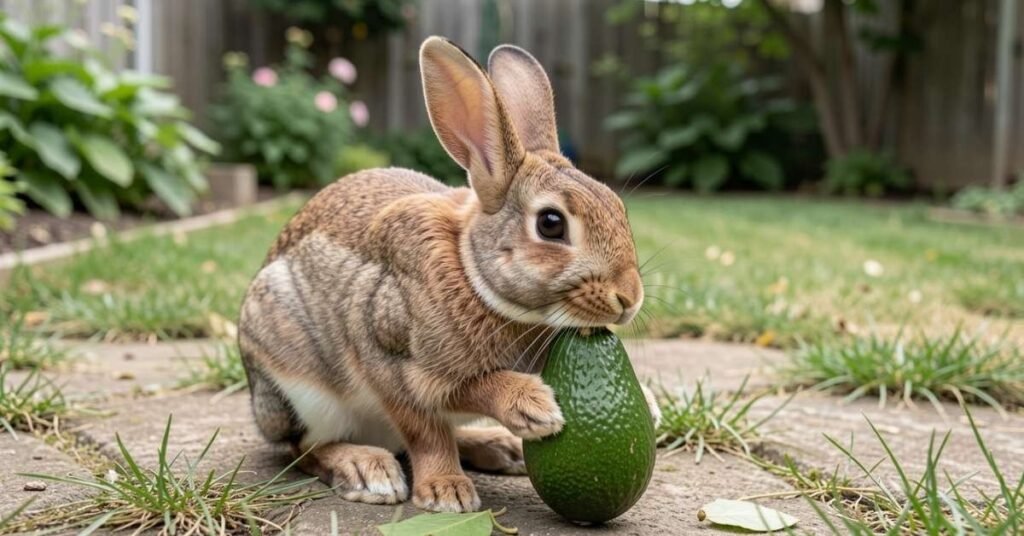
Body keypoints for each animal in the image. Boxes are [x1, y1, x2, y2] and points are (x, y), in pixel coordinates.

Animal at [238, 36, 656, 514]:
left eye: (617, 206)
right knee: (304, 448)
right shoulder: (392, 361)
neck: (474, 276)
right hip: (302, 391)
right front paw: (449, 489)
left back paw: (498, 448)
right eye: (551, 224)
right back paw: (367, 470)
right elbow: (431, 427)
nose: (629, 298)